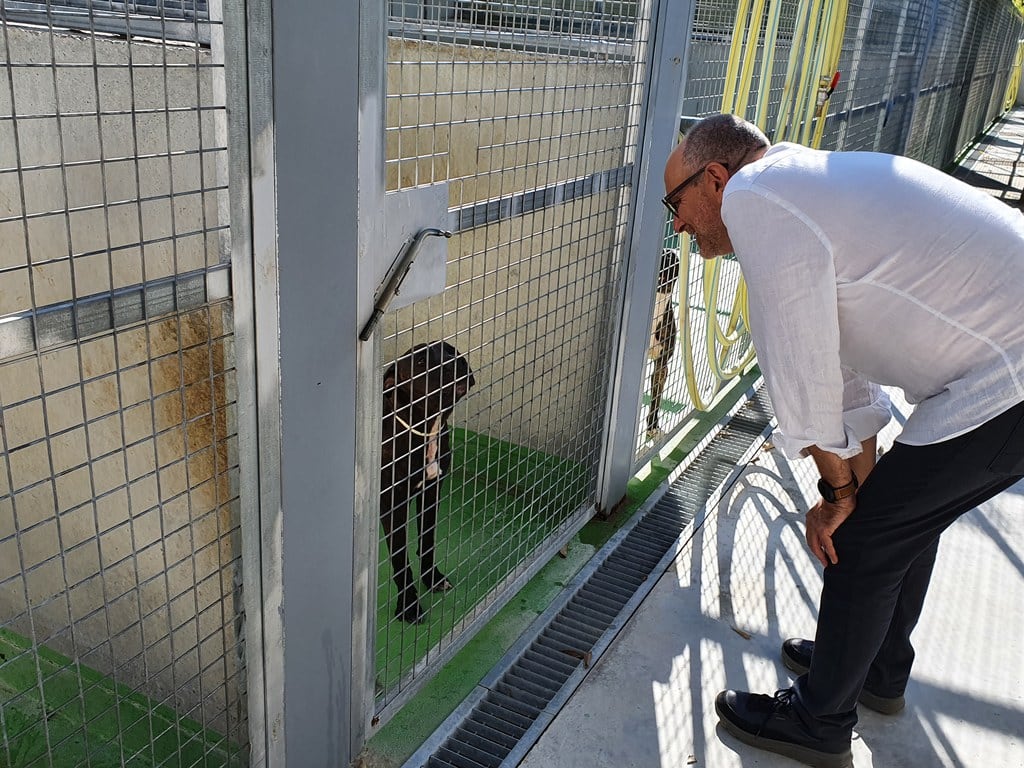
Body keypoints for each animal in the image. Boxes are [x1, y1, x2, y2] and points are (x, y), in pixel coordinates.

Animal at [380, 342, 475, 626]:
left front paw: (432, 577)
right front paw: (409, 606)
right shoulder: (393, 506)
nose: (456, 361)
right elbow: (400, 560)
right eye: (421, 361)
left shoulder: (432, 491)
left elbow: (428, 540)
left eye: (450, 350)